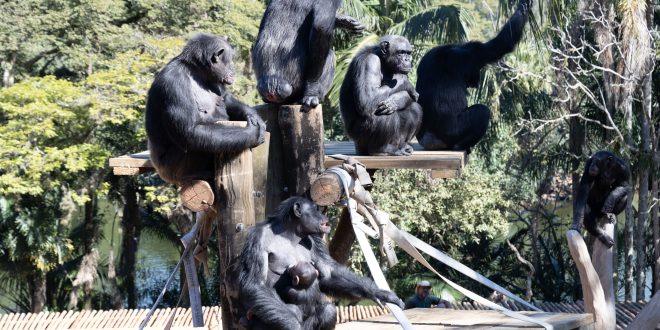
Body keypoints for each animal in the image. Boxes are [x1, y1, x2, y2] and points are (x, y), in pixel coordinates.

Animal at [146, 33, 266, 187]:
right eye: (230, 60)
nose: (233, 68)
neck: (196, 73)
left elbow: (225, 97)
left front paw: (253, 116)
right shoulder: (174, 83)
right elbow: (190, 131)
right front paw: (254, 132)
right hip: (172, 170)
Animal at [237, 197, 402, 328]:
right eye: (315, 210)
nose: (323, 215)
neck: (290, 234)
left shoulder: (314, 241)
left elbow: (328, 273)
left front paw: (380, 294)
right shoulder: (258, 238)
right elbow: (256, 283)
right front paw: (293, 326)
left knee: (328, 311)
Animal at [418, 0, 532, 151]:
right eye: (478, 68)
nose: (475, 80)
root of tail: (430, 140)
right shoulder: (474, 55)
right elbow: (500, 44)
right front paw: (523, 6)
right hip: (453, 133)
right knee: (482, 112)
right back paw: (461, 146)